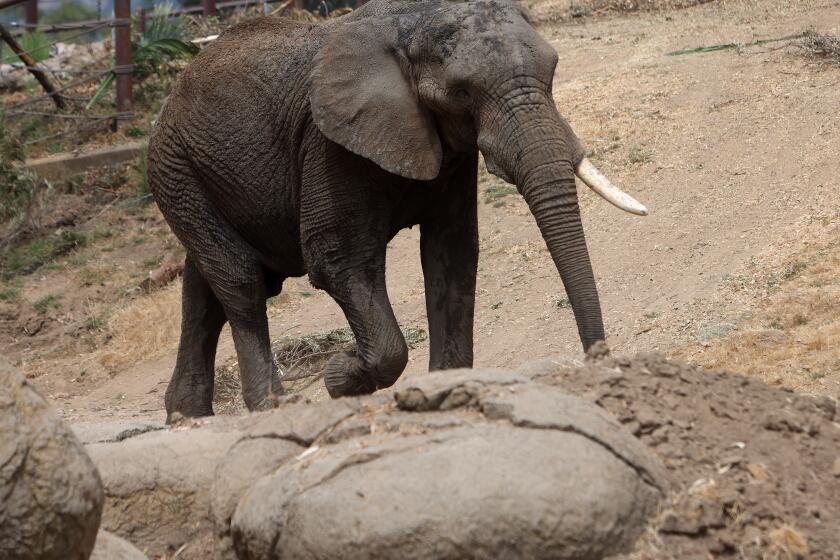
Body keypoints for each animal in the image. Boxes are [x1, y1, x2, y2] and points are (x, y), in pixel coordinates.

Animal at [148, 0, 648, 420]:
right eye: (462, 92)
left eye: (554, 69)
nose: (599, 364)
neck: (415, 22)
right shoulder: (329, 146)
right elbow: (338, 262)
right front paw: (338, 377)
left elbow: (451, 253)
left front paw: (444, 390)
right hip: (175, 168)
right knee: (242, 283)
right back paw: (270, 405)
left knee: (204, 290)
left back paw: (186, 416)